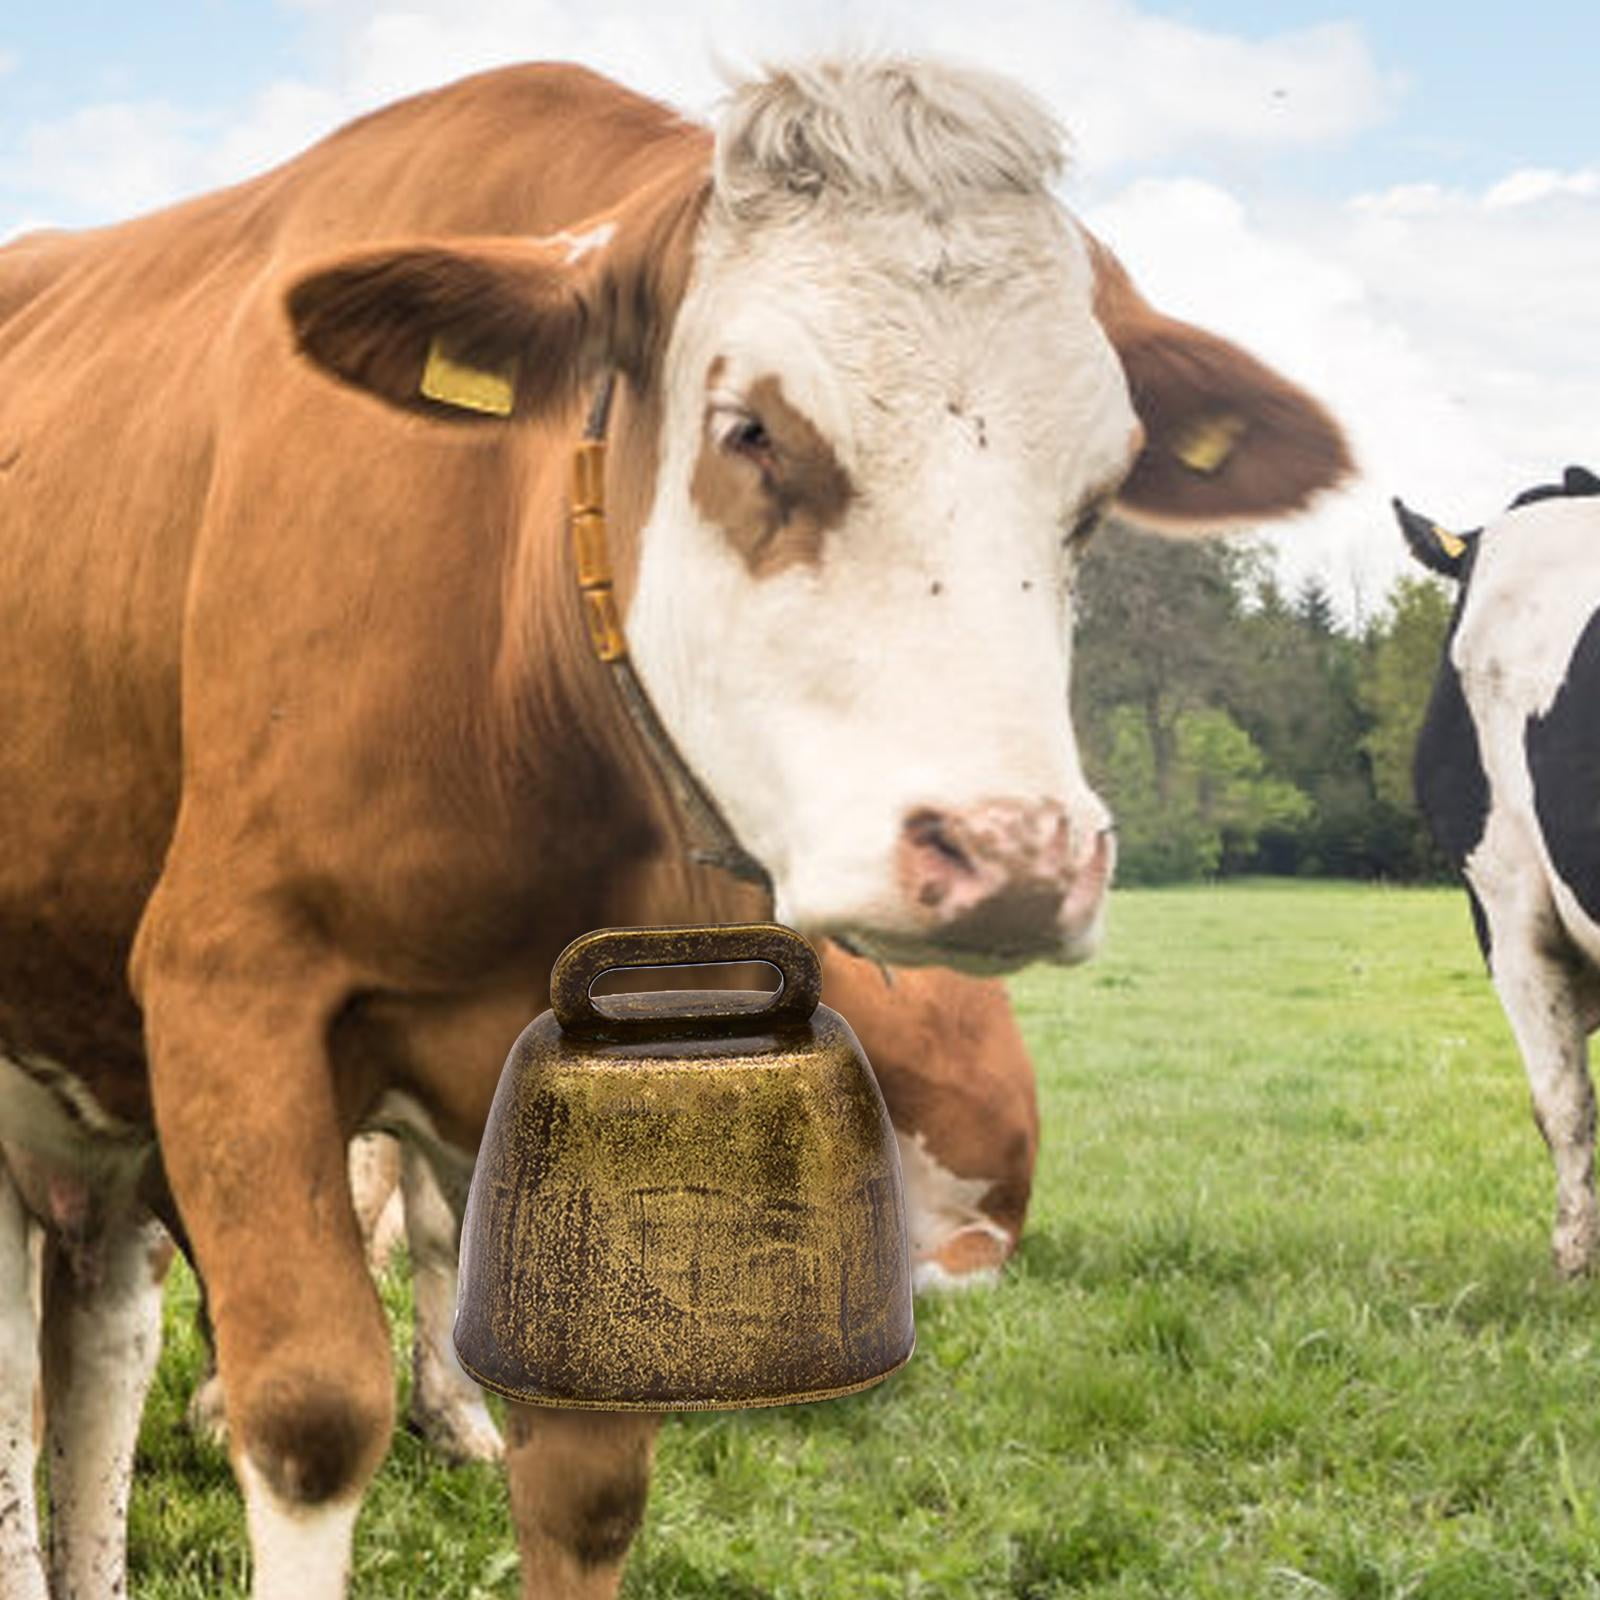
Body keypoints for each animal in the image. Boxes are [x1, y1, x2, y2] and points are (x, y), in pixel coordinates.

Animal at [0, 56, 1350, 1598]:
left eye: (1098, 492)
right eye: (751, 428)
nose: (1016, 853)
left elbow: (585, 1464)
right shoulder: (231, 992)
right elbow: (309, 1415)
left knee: (99, 1337)